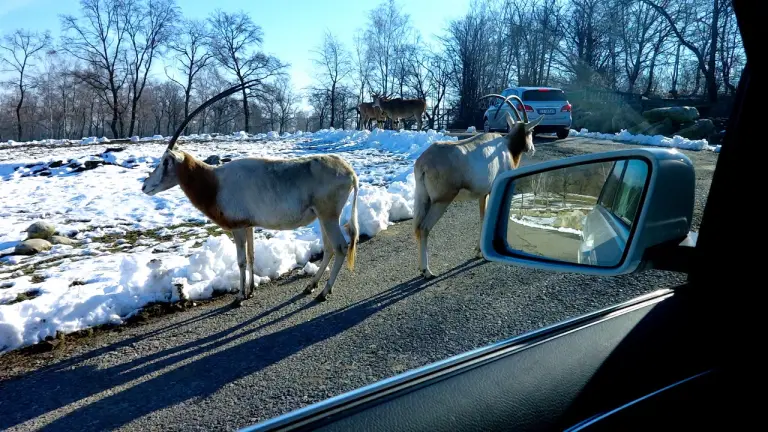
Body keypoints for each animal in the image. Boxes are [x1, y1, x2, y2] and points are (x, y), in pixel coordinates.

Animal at [141, 79, 360, 306]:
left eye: (166, 161)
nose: (145, 186)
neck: (214, 182)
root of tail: (350, 172)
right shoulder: (248, 225)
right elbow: (252, 255)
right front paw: (251, 290)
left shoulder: (237, 227)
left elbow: (241, 261)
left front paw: (239, 297)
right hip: (322, 217)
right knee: (328, 248)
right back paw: (310, 286)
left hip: (328, 216)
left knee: (340, 247)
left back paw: (324, 292)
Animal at [412, 93, 544, 278]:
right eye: (531, 131)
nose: (532, 150)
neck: (506, 148)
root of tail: (423, 163)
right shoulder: (494, 190)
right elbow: (487, 217)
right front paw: (481, 252)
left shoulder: (483, 194)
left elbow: (482, 217)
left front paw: (478, 251)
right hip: (441, 201)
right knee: (424, 228)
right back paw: (427, 271)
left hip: (423, 198)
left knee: (417, 228)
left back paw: (421, 268)